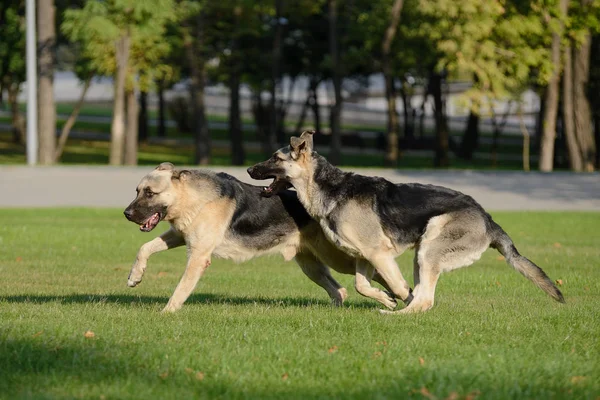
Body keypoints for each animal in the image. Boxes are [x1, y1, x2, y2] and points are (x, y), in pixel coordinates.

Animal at [246, 130, 564, 314]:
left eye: (275, 158)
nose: (248, 169)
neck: (328, 187)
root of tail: (487, 219)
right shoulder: (365, 256)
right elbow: (362, 285)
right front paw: (384, 298)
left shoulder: (378, 254)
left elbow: (399, 287)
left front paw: (396, 298)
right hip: (421, 253)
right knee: (424, 298)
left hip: (429, 248)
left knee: (425, 300)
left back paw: (395, 314)